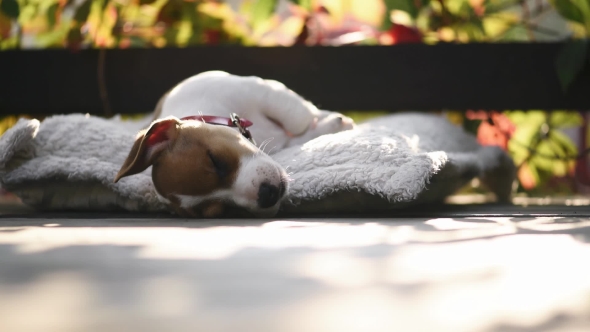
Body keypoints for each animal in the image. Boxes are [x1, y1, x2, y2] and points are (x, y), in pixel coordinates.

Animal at [115, 71, 356, 218]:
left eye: (215, 160)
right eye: (224, 210)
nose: (267, 195)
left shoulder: (262, 90)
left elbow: (298, 119)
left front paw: (330, 121)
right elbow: (298, 132)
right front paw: (328, 125)